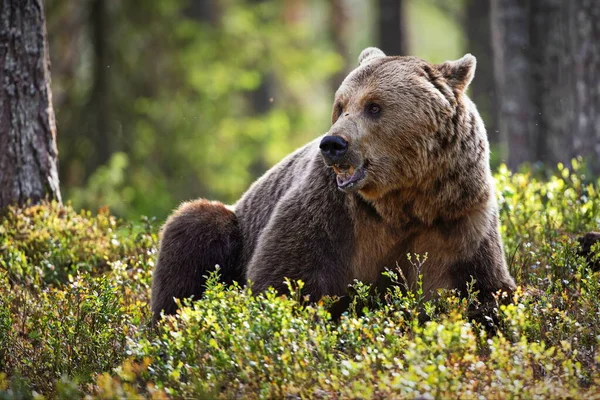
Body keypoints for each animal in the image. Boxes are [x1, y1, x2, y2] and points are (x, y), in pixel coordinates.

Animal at [150, 47, 516, 322]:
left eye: (374, 106)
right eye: (341, 106)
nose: (333, 144)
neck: (402, 201)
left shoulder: (457, 220)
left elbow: (484, 291)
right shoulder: (331, 215)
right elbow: (286, 280)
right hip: (235, 230)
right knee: (195, 228)